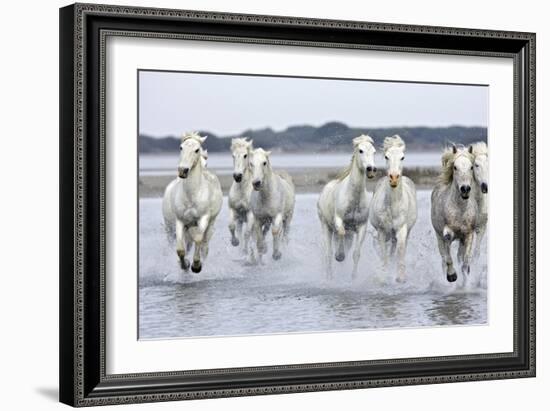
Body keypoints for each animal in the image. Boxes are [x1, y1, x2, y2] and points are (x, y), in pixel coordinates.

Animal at [163, 132, 223, 274]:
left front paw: (196, 266)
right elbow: (180, 249)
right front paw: (184, 265)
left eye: (197, 150)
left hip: (210, 223)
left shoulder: (203, 218)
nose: (183, 170)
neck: (191, 195)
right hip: (170, 228)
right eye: (181, 147)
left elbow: (199, 239)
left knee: (204, 244)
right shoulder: (180, 221)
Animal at [320, 135, 380, 280]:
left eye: (374, 151)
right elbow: (341, 233)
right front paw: (339, 256)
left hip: (350, 234)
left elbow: (356, 253)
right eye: (360, 150)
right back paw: (329, 276)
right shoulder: (338, 220)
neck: (354, 199)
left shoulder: (361, 226)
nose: (371, 169)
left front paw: (353, 278)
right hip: (326, 226)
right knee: (328, 253)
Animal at [370, 135, 418, 284]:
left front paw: (400, 278)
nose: (394, 178)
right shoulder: (382, 231)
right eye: (386, 156)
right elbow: (384, 254)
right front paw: (383, 277)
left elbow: (400, 251)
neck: (393, 206)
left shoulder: (401, 229)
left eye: (403, 157)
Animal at [434, 145, 480, 284]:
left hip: (461, 239)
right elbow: (448, 257)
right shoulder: (446, 233)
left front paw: (465, 281)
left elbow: (465, 261)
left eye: (471, 167)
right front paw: (452, 276)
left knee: (459, 255)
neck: (460, 209)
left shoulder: (468, 234)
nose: (465, 189)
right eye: (455, 167)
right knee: (443, 256)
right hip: (438, 235)